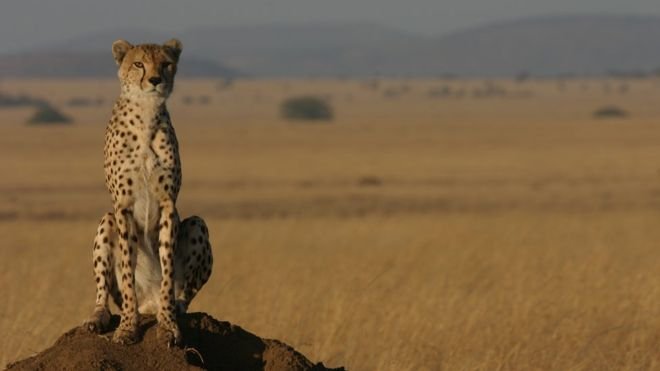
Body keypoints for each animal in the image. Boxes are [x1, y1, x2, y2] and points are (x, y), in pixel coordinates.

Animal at [83, 39, 214, 348]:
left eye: (166, 63)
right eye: (139, 64)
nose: (155, 80)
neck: (146, 115)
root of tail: (148, 304)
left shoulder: (168, 204)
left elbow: (167, 273)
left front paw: (168, 325)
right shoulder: (123, 207)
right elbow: (128, 273)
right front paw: (127, 328)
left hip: (197, 224)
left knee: (185, 292)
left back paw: (175, 307)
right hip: (107, 220)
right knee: (103, 292)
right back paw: (98, 317)